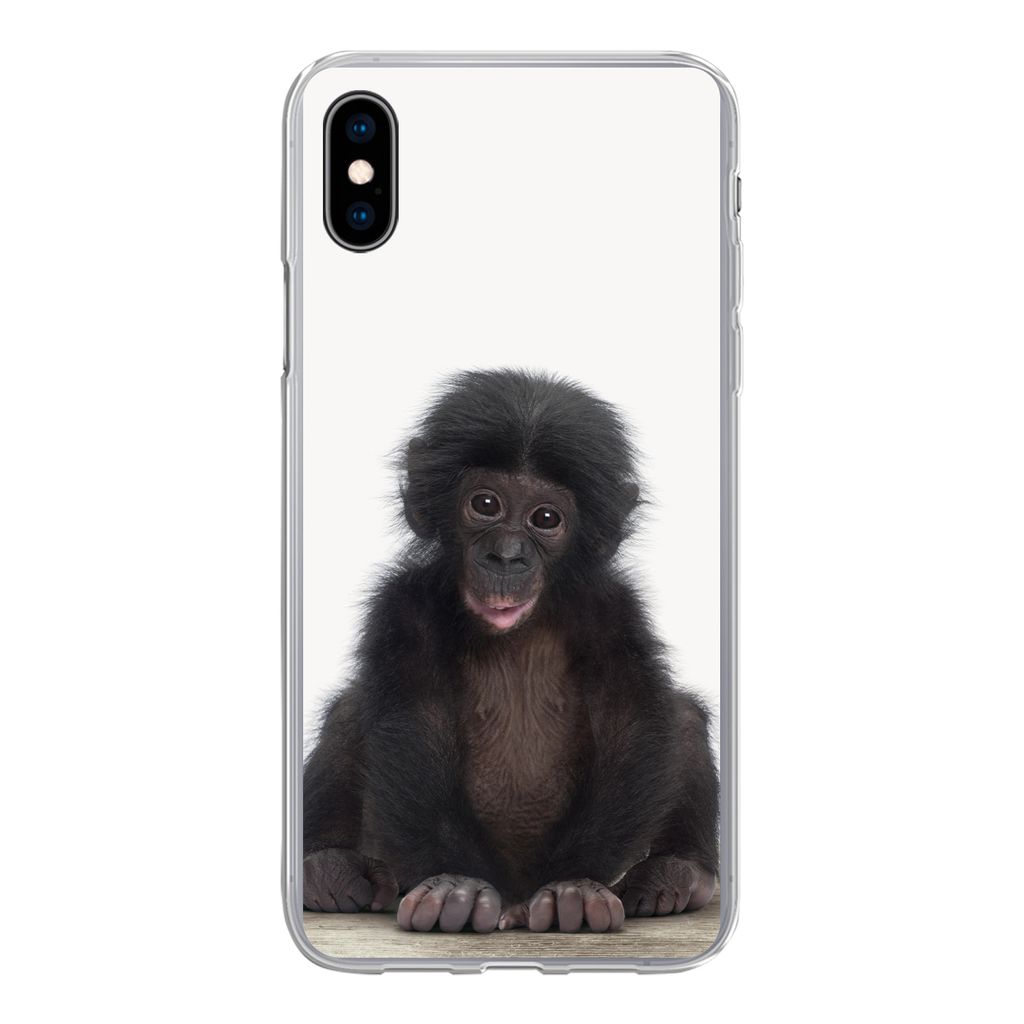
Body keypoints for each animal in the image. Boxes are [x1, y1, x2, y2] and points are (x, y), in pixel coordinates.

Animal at [302, 368, 718, 933]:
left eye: (545, 518)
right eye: (485, 505)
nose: (506, 555)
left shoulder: (616, 611)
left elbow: (630, 729)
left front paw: (572, 889)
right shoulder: (402, 607)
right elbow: (413, 730)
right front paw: (455, 888)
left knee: (684, 717)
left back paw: (677, 875)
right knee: (349, 711)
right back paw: (327, 870)